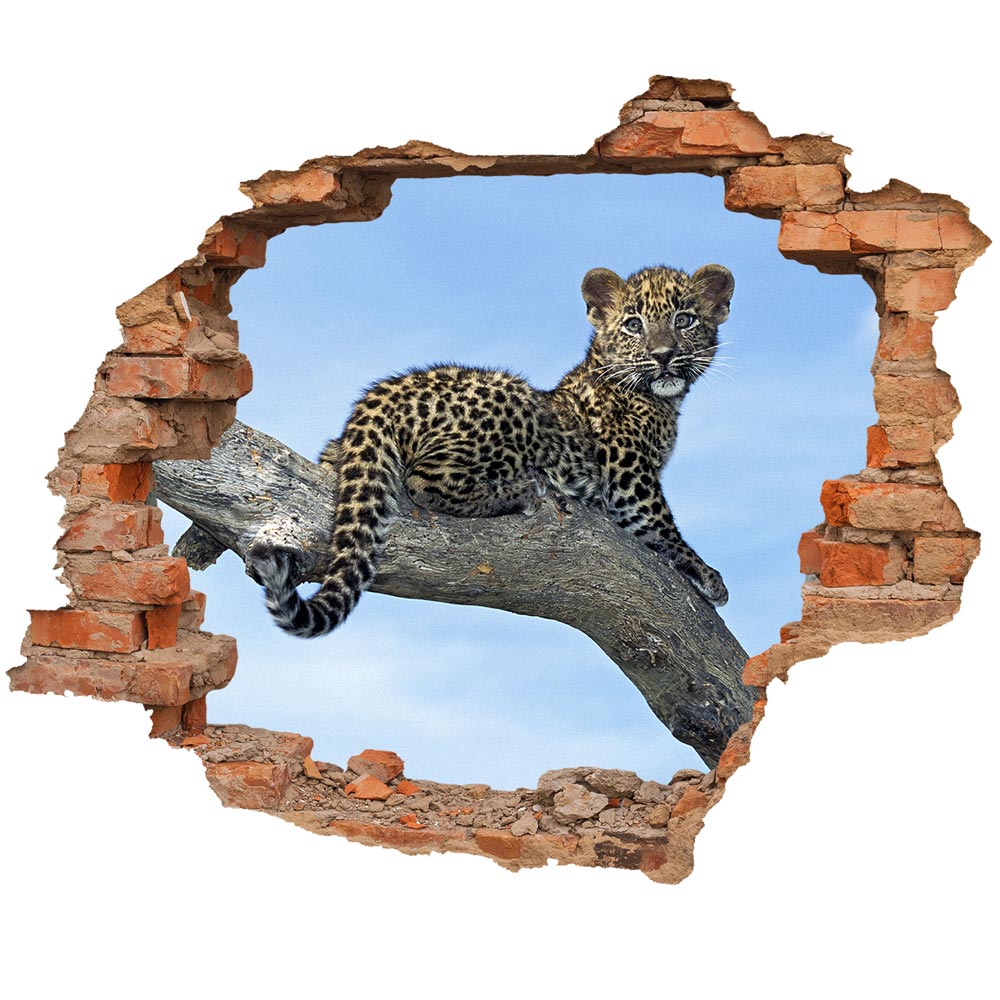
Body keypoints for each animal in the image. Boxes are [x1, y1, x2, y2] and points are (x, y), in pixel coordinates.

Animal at [249, 262, 734, 637]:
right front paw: (710, 577)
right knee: (425, 481)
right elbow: (662, 526)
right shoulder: (629, 478)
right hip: (513, 411)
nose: (664, 354)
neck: (661, 400)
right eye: (634, 324)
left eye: (685, 320)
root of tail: (388, 392)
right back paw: (525, 490)